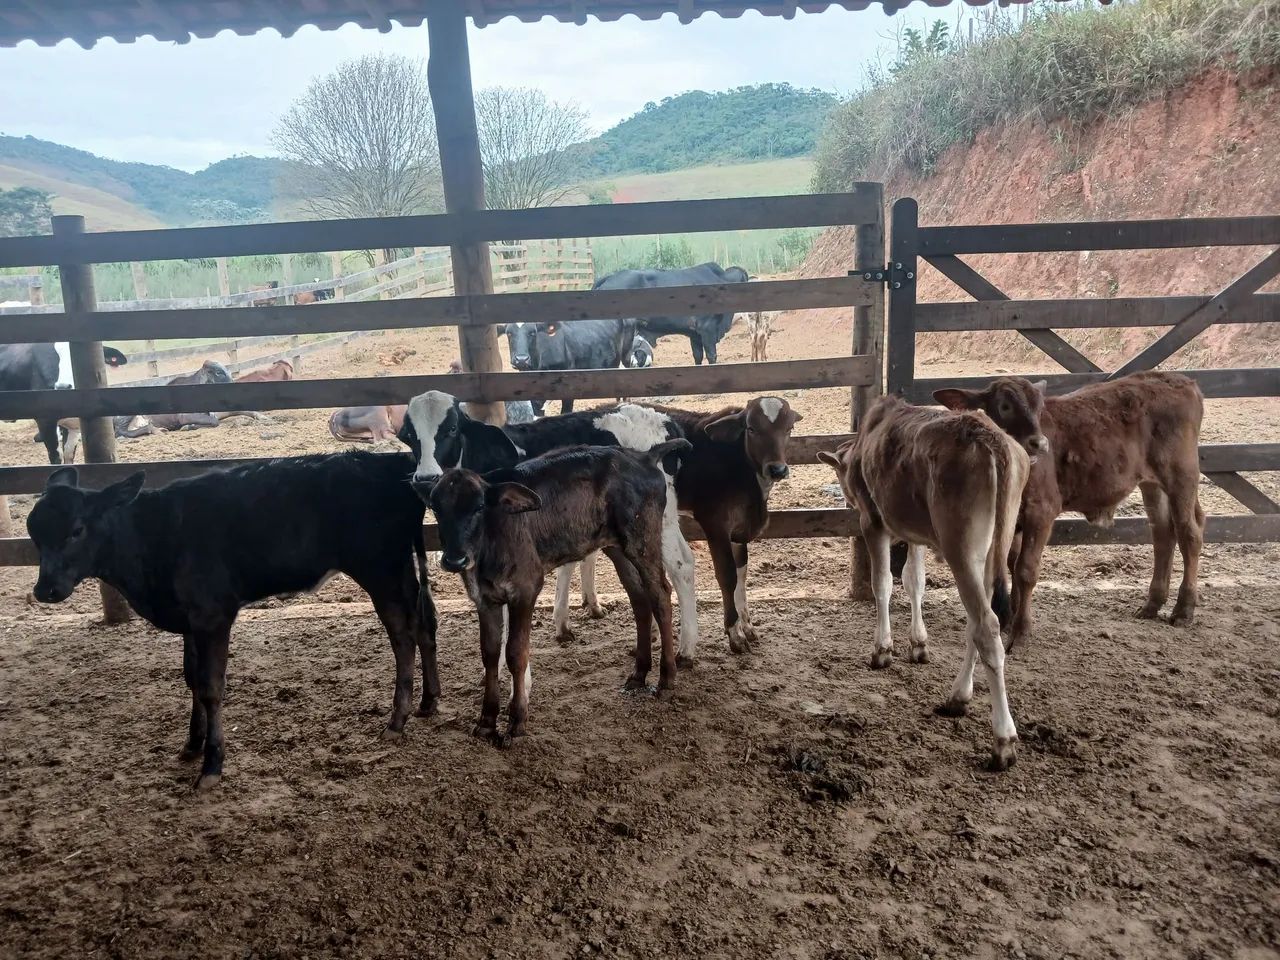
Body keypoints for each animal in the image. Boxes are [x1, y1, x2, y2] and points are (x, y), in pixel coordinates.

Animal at [26, 451, 438, 791]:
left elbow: (211, 687)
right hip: (400, 569)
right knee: (424, 625)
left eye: (77, 530)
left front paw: (211, 765)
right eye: (34, 536)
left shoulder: (213, 614)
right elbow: (191, 679)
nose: (45, 589)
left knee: (403, 636)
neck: (153, 537)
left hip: (380, 569)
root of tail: (392, 462)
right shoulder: (191, 620)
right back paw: (428, 703)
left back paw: (396, 721)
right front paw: (192, 744)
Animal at [397, 392, 699, 657]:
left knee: (681, 564)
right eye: (409, 436)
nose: (425, 478)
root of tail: (663, 420)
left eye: (451, 428)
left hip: (659, 520)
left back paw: (686, 647)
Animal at [422, 440, 689, 746]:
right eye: (435, 507)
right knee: (639, 598)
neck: (489, 544)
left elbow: (515, 653)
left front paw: (517, 722)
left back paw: (666, 678)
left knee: (661, 595)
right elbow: (489, 654)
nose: (454, 559)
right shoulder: (484, 598)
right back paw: (639, 673)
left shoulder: (525, 589)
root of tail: (644, 455)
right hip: (617, 546)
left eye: (479, 506)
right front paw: (486, 722)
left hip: (643, 540)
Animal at [818, 392, 1042, 770]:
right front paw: (918, 644)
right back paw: (958, 696)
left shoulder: (873, 521)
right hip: (991, 543)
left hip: (958, 543)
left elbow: (883, 583)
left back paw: (1003, 741)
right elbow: (914, 581)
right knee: (978, 621)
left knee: (986, 625)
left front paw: (883, 650)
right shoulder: (917, 534)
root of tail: (991, 439)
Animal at [934, 371, 1205, 647]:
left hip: (1181, 475)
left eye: (1039, 407)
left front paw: (1021, 631)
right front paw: (1011, 618)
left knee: (1189, 534)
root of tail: (1179, 379)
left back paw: (1184, 609)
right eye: (1004, 406)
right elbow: (1012, 563)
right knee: (1163, 533)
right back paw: (1152, 604)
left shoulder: (1041, 511)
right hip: (1152, 483)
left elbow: (1025, 570)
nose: (1040, 443)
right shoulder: (1014, 518)